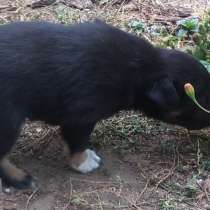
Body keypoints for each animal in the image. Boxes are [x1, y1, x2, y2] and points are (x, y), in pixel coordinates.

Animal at [0, 20, 210, 189]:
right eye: (199, 98)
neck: (138, 69)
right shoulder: (80, 116)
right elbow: (77, 141)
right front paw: (84, 162)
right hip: (9, 120)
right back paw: (20, 179)